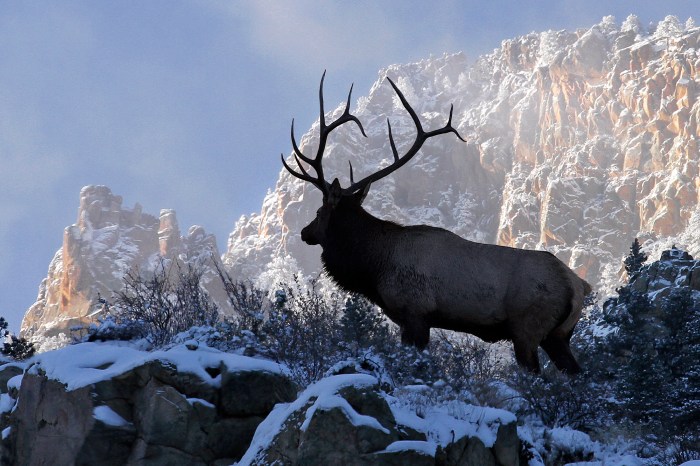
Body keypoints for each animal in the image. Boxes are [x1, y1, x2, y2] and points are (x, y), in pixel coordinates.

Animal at [282, 72, 592, 374]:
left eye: (319, 211)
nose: (305, 232)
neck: (375, 265)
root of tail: (578, 285)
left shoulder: (415, 312)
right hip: (559, 335)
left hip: (526, 327)